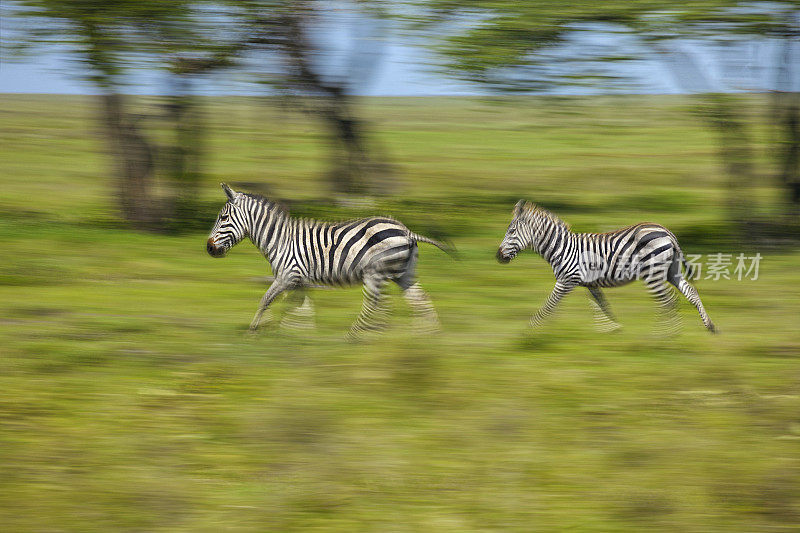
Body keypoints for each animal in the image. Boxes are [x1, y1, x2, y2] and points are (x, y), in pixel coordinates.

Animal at [206, 183, 450, 336]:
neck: (280, 239)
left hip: (375, 273)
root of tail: (407, 231)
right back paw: (427, 335)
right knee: (420, 299)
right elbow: (301, 308)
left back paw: (356, 337)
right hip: (404, 274)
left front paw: (254, 330)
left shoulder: (287, 275)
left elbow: (265, 300)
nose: (208, 248)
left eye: (223, 217)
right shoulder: (299, 281)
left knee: (377, 305)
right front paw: (299, 334)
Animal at [496, 200, 716, 332]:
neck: (561, 247)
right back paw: (709, 326)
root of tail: (666, 231)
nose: (498, 256)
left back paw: (664, 336)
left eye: (512, 231)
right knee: (690, 292)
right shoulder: (591, 283)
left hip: (652, 273)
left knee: (668, 300)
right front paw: (613, 329)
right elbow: (602, 305)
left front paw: (531, 330)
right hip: (671, 270)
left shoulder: (566, 280)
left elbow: (549, 305)